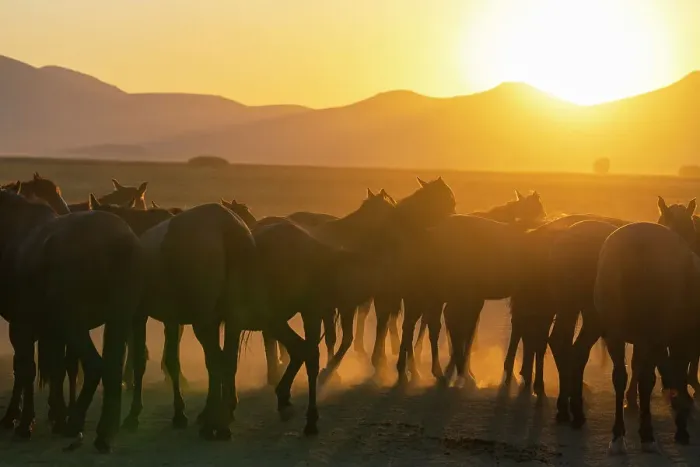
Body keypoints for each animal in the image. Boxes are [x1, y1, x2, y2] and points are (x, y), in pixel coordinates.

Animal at [0, 187, 144, 453]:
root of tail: (121, 242)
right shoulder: (49, 331)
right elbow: (55, 370)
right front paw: (55, 416)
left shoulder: (21, 326)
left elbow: (25, 370)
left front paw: (22, 422)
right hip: (117, 321)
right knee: (111, 368)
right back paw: (102, 431)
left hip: (75, 326)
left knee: (95, 366)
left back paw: (77, 423)